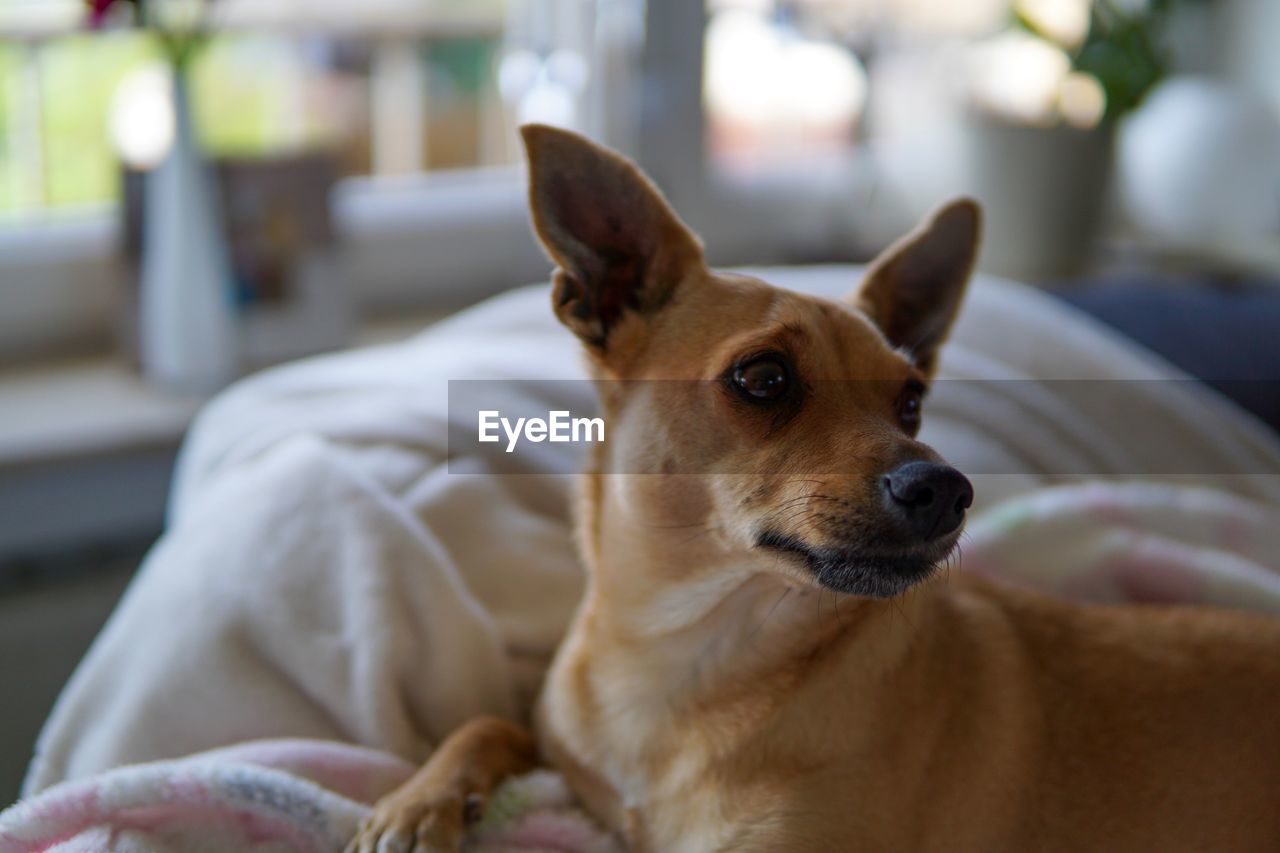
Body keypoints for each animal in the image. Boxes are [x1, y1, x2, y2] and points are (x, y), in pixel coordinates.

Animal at [350, 126, 1280, 850]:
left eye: (912, 401)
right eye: (763, 378)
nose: (946, 486)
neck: (689, 663)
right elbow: (489, 720)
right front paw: (419, 799)